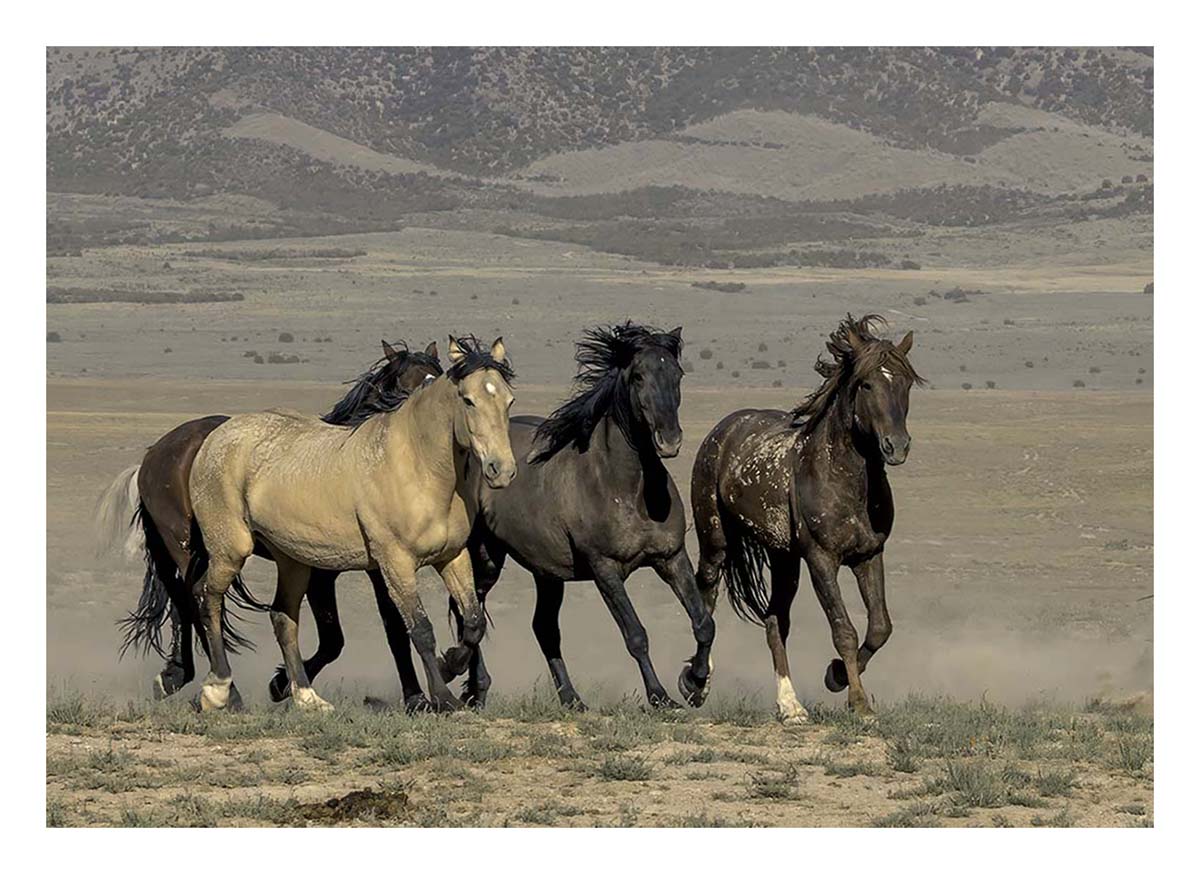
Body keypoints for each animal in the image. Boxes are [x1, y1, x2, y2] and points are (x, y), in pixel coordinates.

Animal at [97, 340, 443, 707]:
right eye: (402, 386)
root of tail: (155, 453)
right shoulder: (319, 573)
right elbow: (333, 638)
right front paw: (281, 685)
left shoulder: (380, 568)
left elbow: (395, 627)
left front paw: (415, 697)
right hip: (183, 544)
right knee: (197, 598)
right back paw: (223, 691)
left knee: (184, 601)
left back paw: (176, 676)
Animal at [187, 336, 516, 711]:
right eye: (468, 400)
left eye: (508, 400)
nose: (501, 470)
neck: (418, 466)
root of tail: (215, 438)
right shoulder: (395, 564)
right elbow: (419, 630)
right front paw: (443, 698)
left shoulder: (452, 557)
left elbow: (473, 622)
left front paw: (450, 666)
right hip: (231, 549)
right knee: (207, 596)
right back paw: (218, 691)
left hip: (294, 562)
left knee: (283, 617)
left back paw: (307, 698)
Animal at [441, 323, 715, 710]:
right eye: (638, 376)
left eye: (677, 374)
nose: (670, 441)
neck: (627, 488)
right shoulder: (605, 569)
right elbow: (636, 635)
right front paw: (660, 697)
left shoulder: (671, 557)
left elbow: (703, 622)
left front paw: (694, 682)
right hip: (487, 557)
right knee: (471, 612)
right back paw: (472, 685)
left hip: (547, 572)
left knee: (542, 628)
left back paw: (571, 698)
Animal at [690, 315, 922, 719]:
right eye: (866, 383)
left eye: (906, 382)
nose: (897, 447)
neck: (843, 479)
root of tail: (724, 428)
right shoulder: (821, 560)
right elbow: (844, 630)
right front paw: (859, 703)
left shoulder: (868, 555)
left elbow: (879, 627)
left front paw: (837, 677)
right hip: (716, 542)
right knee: (707, 597)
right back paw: (696, 682)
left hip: (784, 559)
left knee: (774, 621)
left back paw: (790, 706)